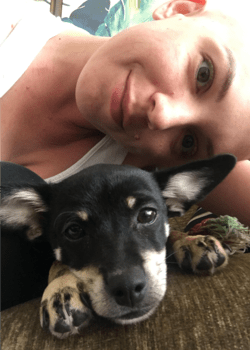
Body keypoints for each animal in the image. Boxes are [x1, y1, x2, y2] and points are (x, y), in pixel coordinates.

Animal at [0, 154, 235, 338]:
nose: (128, 289)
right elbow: (58, 263)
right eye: (73, 230)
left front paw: (190, 241)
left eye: (147, 214)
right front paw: (61, 287)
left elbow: (170, 234)